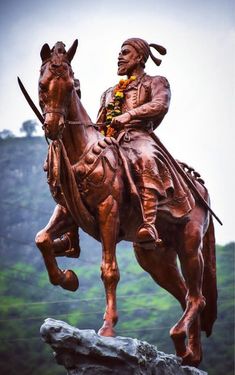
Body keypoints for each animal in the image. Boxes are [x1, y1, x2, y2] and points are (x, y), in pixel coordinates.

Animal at [34, 40, 217, 368]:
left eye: (70, 86)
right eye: (43, 85)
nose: (52, 127)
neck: (80, 151)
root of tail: (201, 188)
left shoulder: (108, 210)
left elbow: (109, 270)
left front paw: (107, 328)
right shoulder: (67, 211)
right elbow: (42, 239)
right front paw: (67, 278)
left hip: (189, 243)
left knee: (197, 297)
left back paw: (179, 338)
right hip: (155, 258)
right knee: (186, 295)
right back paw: (190, 354)